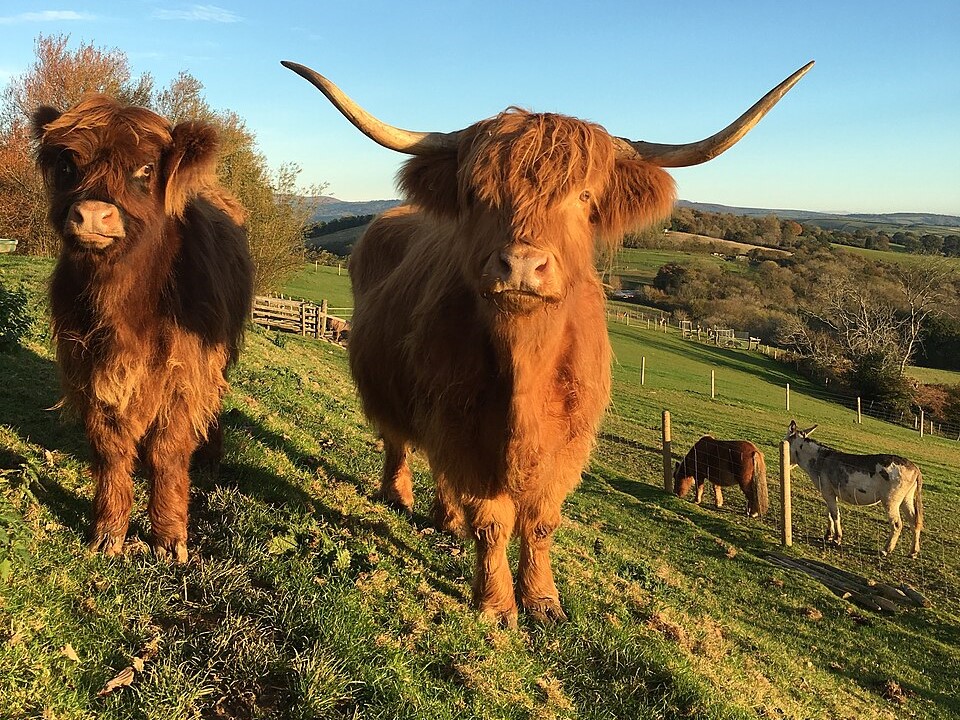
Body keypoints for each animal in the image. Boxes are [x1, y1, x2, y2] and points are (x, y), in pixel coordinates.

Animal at [32, 95, 254, 562]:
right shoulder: (89, 368)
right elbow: (110, 451)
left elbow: (167, 454)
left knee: (214, 403)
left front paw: (170, 538)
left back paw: (211, 456)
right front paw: (108, 531)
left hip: (220, 356)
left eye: (146, 170)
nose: (92, 215)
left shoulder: (185, 372)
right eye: (67, 164)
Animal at [283, 60, 812, 625]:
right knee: (398, 441)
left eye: (584, 196)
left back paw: (445, 519)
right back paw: (399, 496)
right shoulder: (460, 423)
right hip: (390, 390)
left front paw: (542, 601)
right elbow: (491, 519)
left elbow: (539, 521)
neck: (524, 371)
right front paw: (495, 604)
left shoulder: (569, 438)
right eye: (474, 194)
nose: (520, 264)